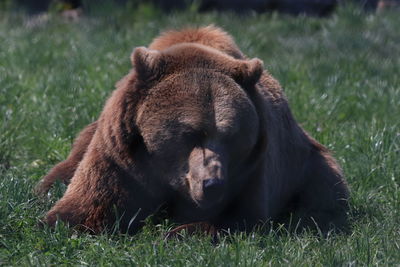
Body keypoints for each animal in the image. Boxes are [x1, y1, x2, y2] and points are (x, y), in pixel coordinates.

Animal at [37, 25, 350, 234]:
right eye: (190, 134)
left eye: (231, 136)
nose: (213, 184)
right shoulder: (121, 158)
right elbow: (85, 207)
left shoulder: (252, 171)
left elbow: (234, 217)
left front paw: (176, 233)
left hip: (306, 162)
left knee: (325, 193)